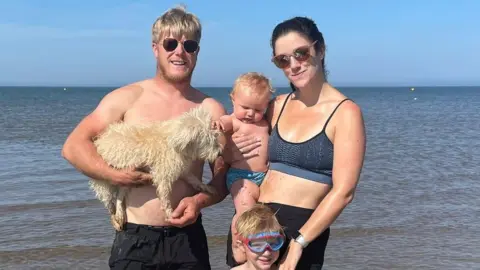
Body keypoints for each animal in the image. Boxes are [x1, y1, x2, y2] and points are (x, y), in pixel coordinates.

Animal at [89, 105, 223, 230]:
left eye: (215, 137)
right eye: (207, 141)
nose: (220, 153)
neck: (174, 142)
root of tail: (100, 140)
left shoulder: (180, 168)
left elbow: (193, 179)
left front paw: (206, 187)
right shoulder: (163, 175)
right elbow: (165, 197)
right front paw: (169, 214)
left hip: (125, 181)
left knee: (119, 196)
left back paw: (120, 214)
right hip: (104, 184)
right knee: (109, 204)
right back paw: (115, 218)